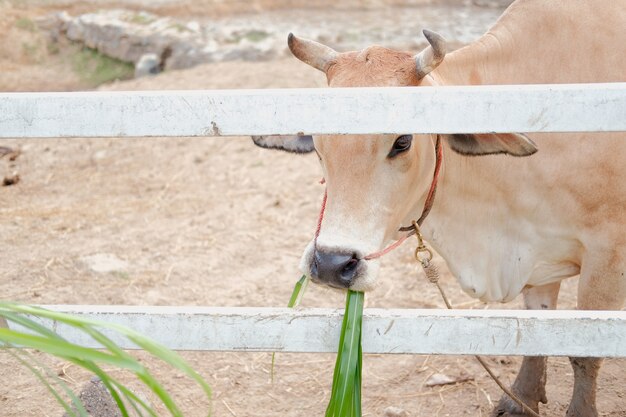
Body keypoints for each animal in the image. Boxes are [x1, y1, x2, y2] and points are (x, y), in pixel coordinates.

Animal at [251, 1, 620, 414]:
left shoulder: (606, 255)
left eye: (403, 141)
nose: (332, 263)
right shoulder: (535, 252)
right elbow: (538, 327)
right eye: (317, 144)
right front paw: (521, 398)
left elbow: (586, 351)